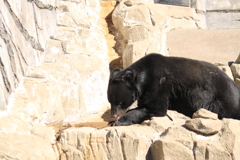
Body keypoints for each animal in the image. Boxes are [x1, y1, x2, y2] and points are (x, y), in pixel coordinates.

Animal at [108, 53, 240, 125]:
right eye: (110, 101)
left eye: (120, 102)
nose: (114, 115)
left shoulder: (157, 84)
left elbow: (155, 108)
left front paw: (117, 122)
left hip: (222, 99)